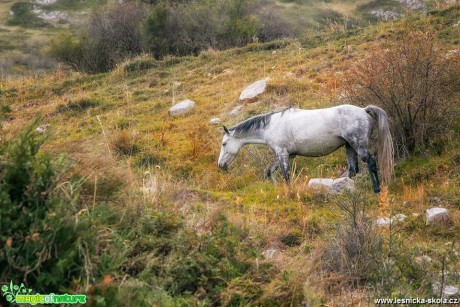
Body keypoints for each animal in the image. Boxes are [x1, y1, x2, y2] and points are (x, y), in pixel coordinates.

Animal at [217, 105, 394, 192]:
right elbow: (270, 171)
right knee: (353, 170)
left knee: (370, 163)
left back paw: (377, 189)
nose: (221, 165)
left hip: (358, 145)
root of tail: (364, 110)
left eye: (224, 144)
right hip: (349, 146)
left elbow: (286, 176)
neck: (270, 126)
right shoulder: (287, 155)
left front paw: (289, 192)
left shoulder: (282, 154)